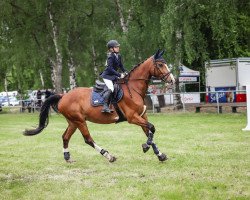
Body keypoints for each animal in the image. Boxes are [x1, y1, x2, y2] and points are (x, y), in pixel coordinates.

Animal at [24, 50, 175, 162]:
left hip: (73, 121)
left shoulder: (142, 116)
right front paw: (145, 147)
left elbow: (149, 131)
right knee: (88, 139)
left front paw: (159, 154)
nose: (172, 80)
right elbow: (151, 128)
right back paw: (108, 155)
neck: (133, 88)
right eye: (160, 65)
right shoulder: (133, 117)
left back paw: (67, 157)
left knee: (65, 137)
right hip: (80, 121)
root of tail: (63, 96)